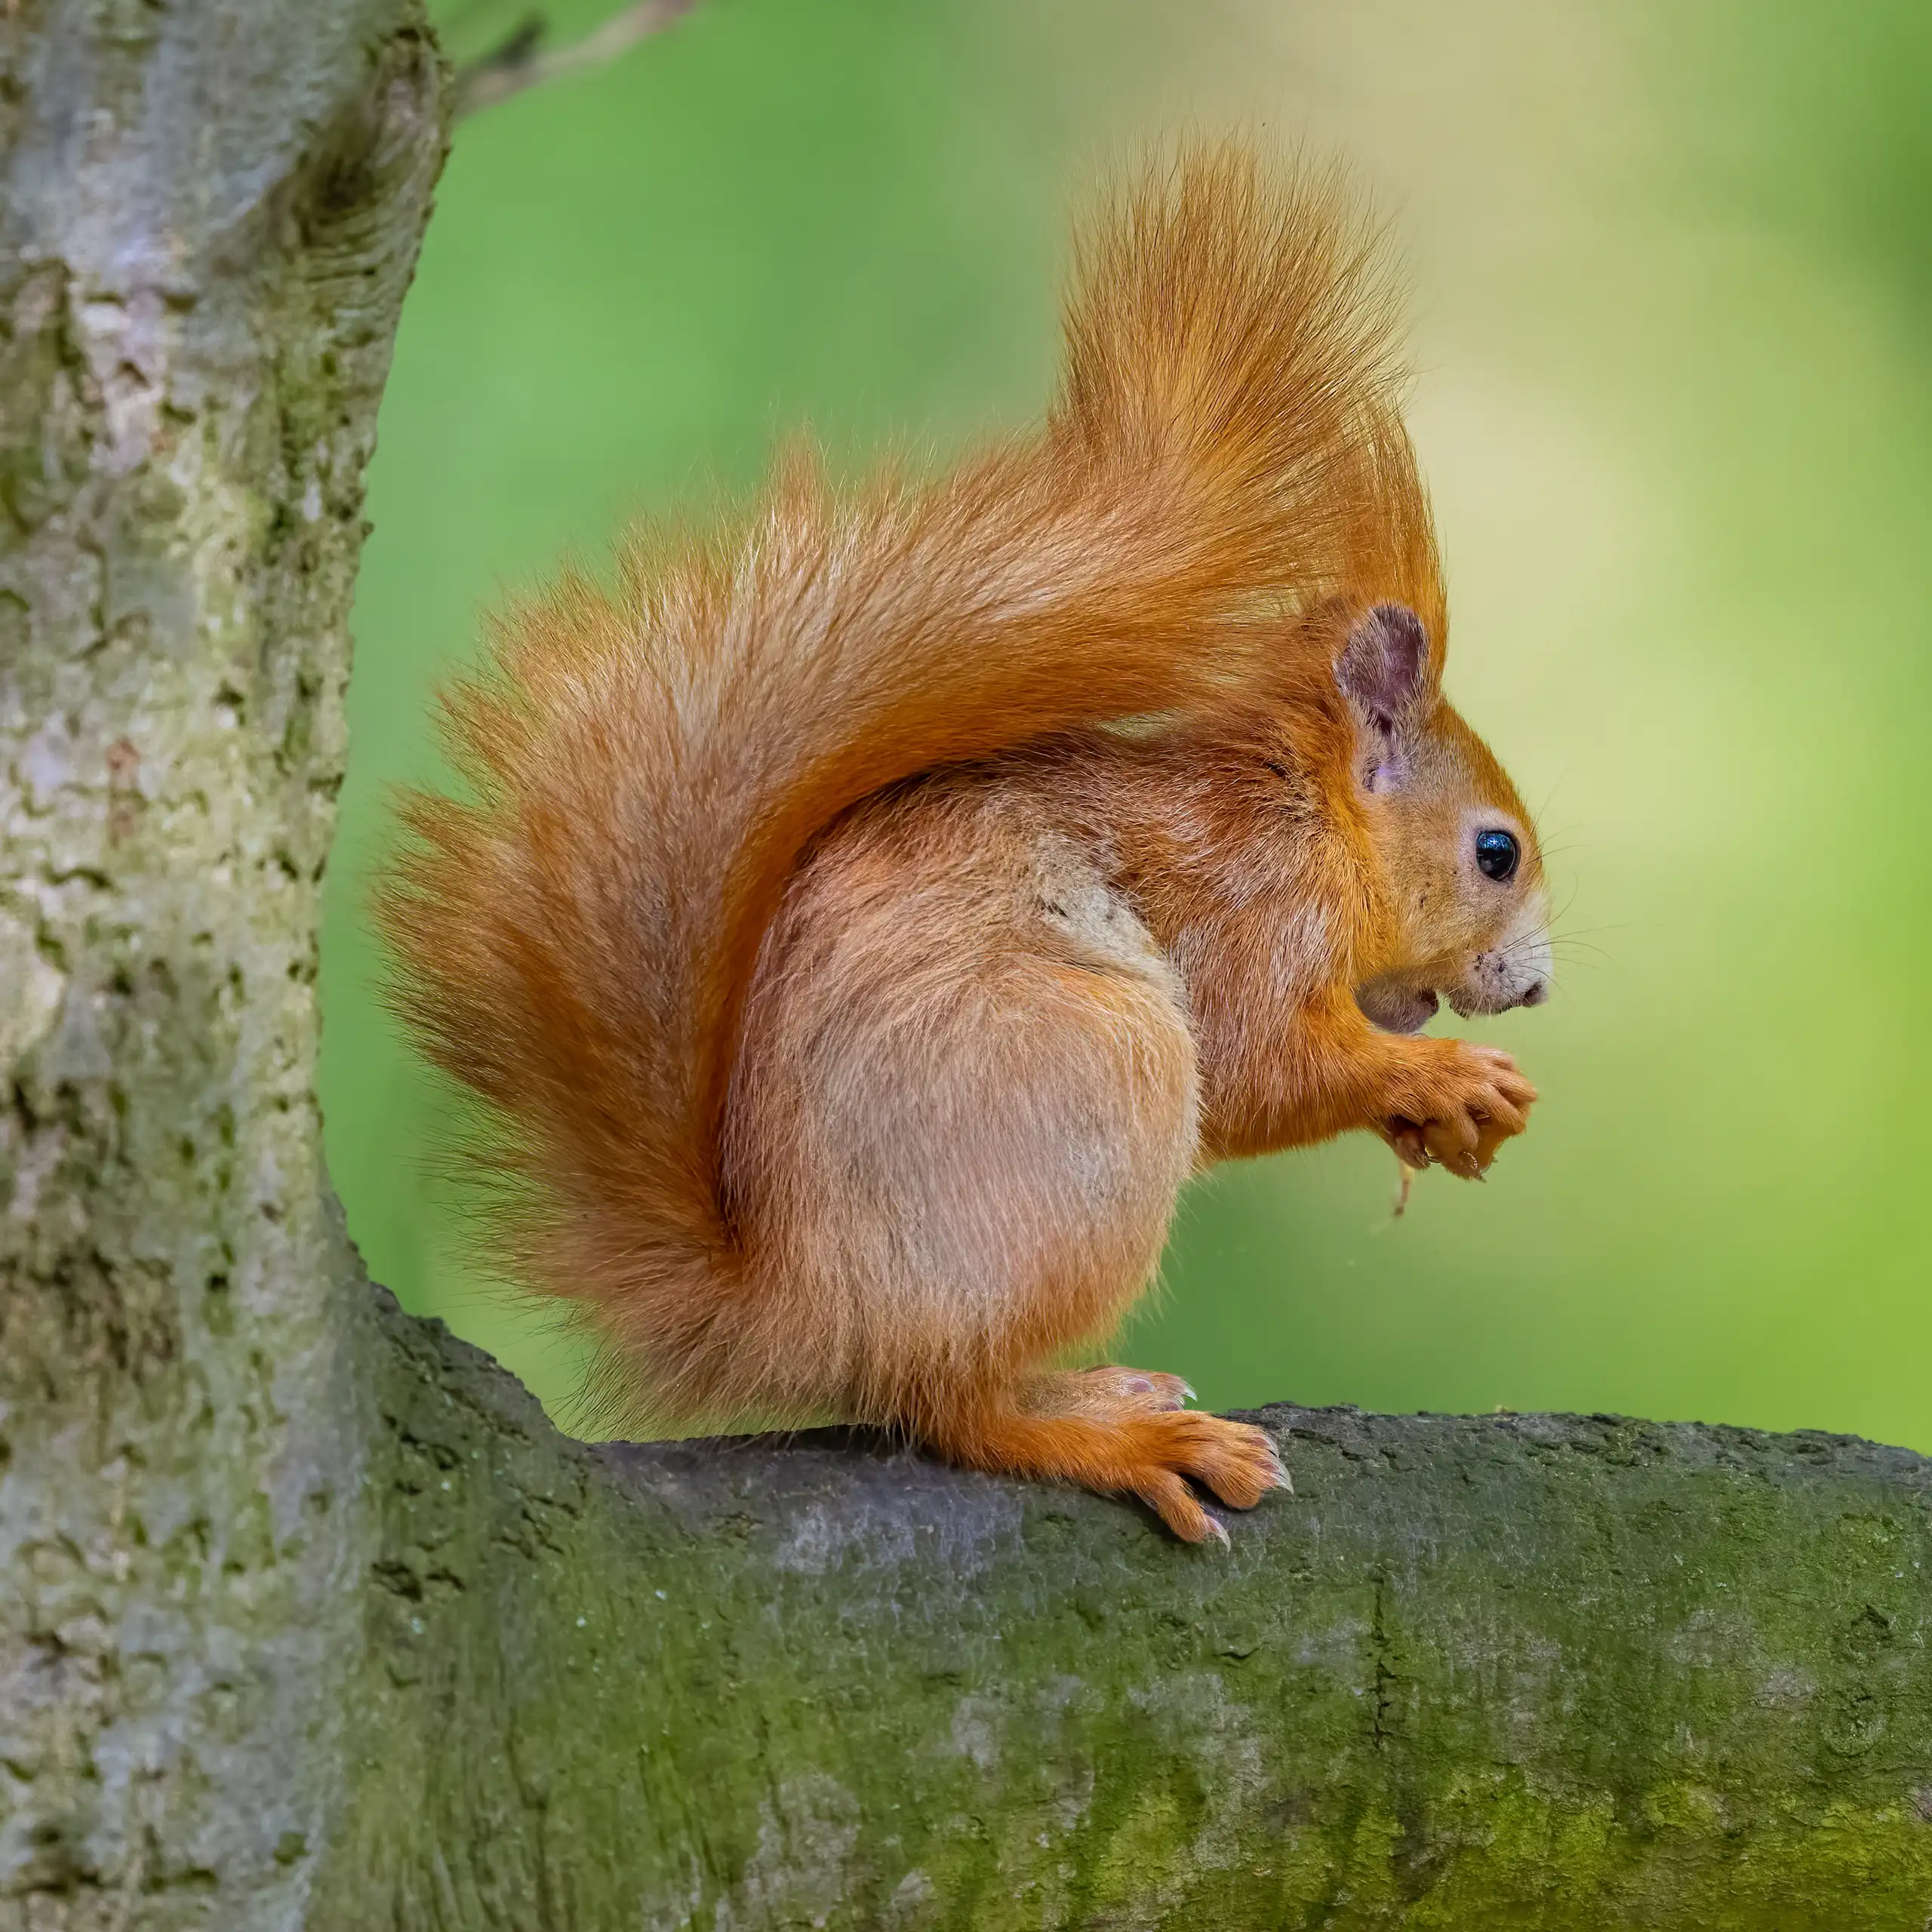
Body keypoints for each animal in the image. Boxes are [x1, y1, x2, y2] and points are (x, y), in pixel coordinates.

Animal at [376, 142, 1548, 1544]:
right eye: (1495, 854)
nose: (1534, 986)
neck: (1309, 819)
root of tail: (802, 1306)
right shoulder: (1249, 907)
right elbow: (1262, 1065)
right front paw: (1441, 1082)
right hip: (1093, 1082)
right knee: (954, 1404)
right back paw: (1115, 1434)